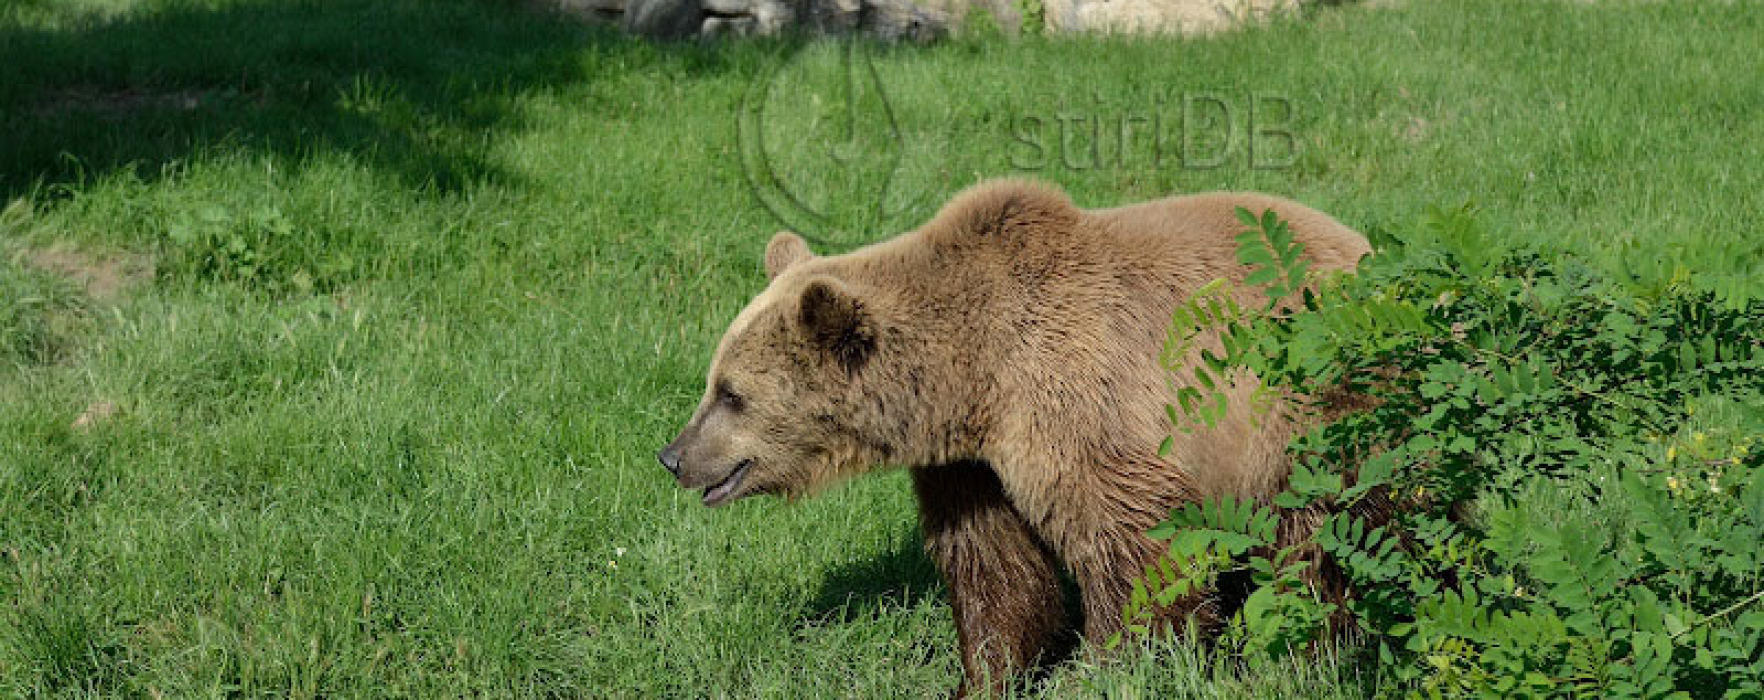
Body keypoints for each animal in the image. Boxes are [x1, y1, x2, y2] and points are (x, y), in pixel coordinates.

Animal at [659, 178, 1361, 691]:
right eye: (713, 382)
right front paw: (984, 678)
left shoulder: (1077, 403)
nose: (673, 456)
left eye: (732, 394)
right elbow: (995, 570)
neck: (973, 380)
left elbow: (1133, 550)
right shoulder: (969, 466)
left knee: (1318, 546)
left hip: (1305, 414)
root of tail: (1357, 242)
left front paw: (1108, 669)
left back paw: (1314, 652)